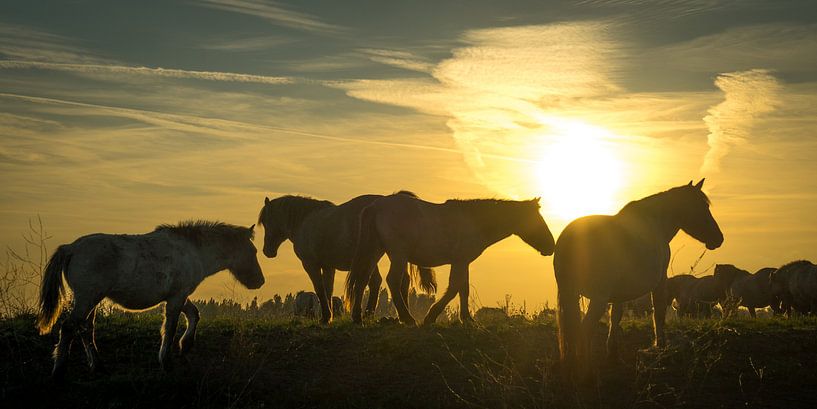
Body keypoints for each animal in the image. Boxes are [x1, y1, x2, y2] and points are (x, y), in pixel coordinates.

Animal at [36, 221, 264, 379]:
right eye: (252, 251)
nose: (260, 281)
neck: (192, 250)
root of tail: (71, 247)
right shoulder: (177, 296)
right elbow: (170, 328)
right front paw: (166, 362)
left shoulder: (178, 295)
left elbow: (193, 314)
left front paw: (185, 345)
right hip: (87, 298)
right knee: (69, 327)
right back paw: (59, 371)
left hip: (91, 300)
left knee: (85, 329)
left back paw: (98, 366)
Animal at [257, 192, 435, 324]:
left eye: (266, 221)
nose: (267, 251)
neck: (305, 221)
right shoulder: (328, 266)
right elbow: (328, 289)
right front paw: (328, 316)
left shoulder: (310, 264)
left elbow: (319, 288)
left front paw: (326, 317)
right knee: (393, 281)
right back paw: (381, 314)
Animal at [345, 195, 555, 326]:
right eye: (537, 220)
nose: (551, 246)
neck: (475, 221)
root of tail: (375, 206)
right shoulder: (460, 261)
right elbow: (455, 288)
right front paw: (431, 316)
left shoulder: (463, 262)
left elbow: (463, 289)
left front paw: (467, 319)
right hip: (398, 255)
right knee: (393, 281)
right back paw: (408, 318)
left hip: (375, 251)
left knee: (363, 279)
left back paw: (357, 317)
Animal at [554, 179, 723, 375]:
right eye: (701, 207)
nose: (719, 238)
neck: (654, 224)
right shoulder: (660, 281)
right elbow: (659, 312)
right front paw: (660, 347)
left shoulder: (618, 293)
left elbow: (615, 317)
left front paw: (613, 354)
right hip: (597, 298)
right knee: (585, 330)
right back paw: (587, 370)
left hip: (570, 293)